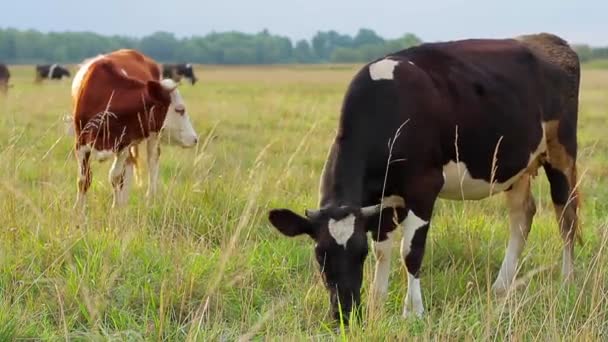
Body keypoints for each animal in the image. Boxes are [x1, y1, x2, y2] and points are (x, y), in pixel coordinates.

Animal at [71, 49, 198, 207]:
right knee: (131, 165)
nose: (195, 138)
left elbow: (116, 177)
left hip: (152, 137)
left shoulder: (123, 145)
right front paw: (79, 209)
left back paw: (150, 198)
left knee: (152, 161)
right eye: (180, 110)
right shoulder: (81, 143)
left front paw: (116, 208)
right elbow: (84, 180)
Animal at [268, 33, 580, 324]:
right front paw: (377, 304)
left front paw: (413, 312)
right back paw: (501, 286)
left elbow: (410, 251)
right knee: (522, 216)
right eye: (320, 255)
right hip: (517, 165)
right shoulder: (382, 199)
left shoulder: (423, 187)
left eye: (359, 253)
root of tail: (547, 39)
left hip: (561, 152)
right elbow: (383, 249)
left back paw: (567, 281)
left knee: (566, 216)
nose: (344, 313)